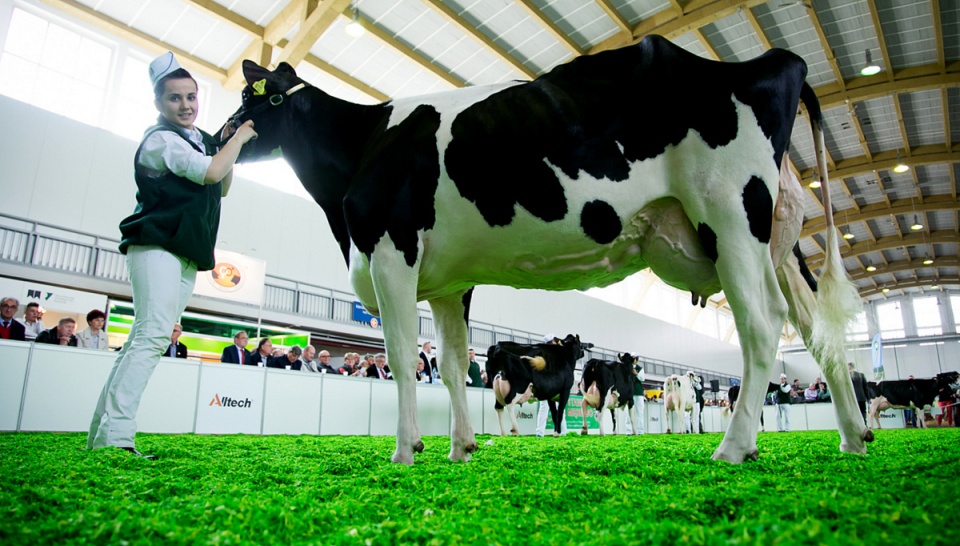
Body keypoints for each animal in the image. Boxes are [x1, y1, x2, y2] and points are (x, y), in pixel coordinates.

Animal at [227, 34, 872, 462]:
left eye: (255, 97)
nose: (217, 134)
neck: (362, 149)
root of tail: (769, 62)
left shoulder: (391, 253)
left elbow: (407, 356)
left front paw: (406, 450)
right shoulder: (449, 282)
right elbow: (455, 364)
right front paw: (462, 448)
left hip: (730, 215)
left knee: (761, 327)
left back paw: (734, 448)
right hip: (777, 242)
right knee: (817, 334)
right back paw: (853, 437)